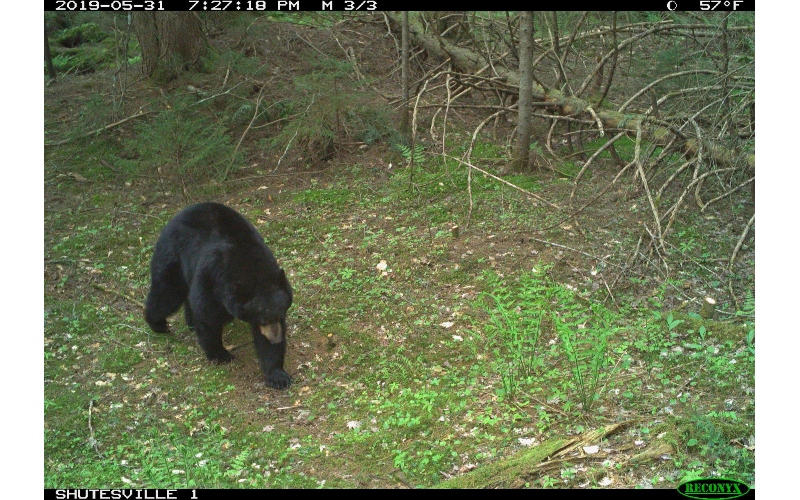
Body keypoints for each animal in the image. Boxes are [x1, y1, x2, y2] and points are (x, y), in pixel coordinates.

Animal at [144, 202, 293, 389]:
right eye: (263, 319)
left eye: (281, 314)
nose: (275, 338)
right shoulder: (211, 278)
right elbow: (207, 316)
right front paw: (220, 354)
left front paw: (278, 375)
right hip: (173, 256)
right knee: (167, 293)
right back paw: (158, 323)